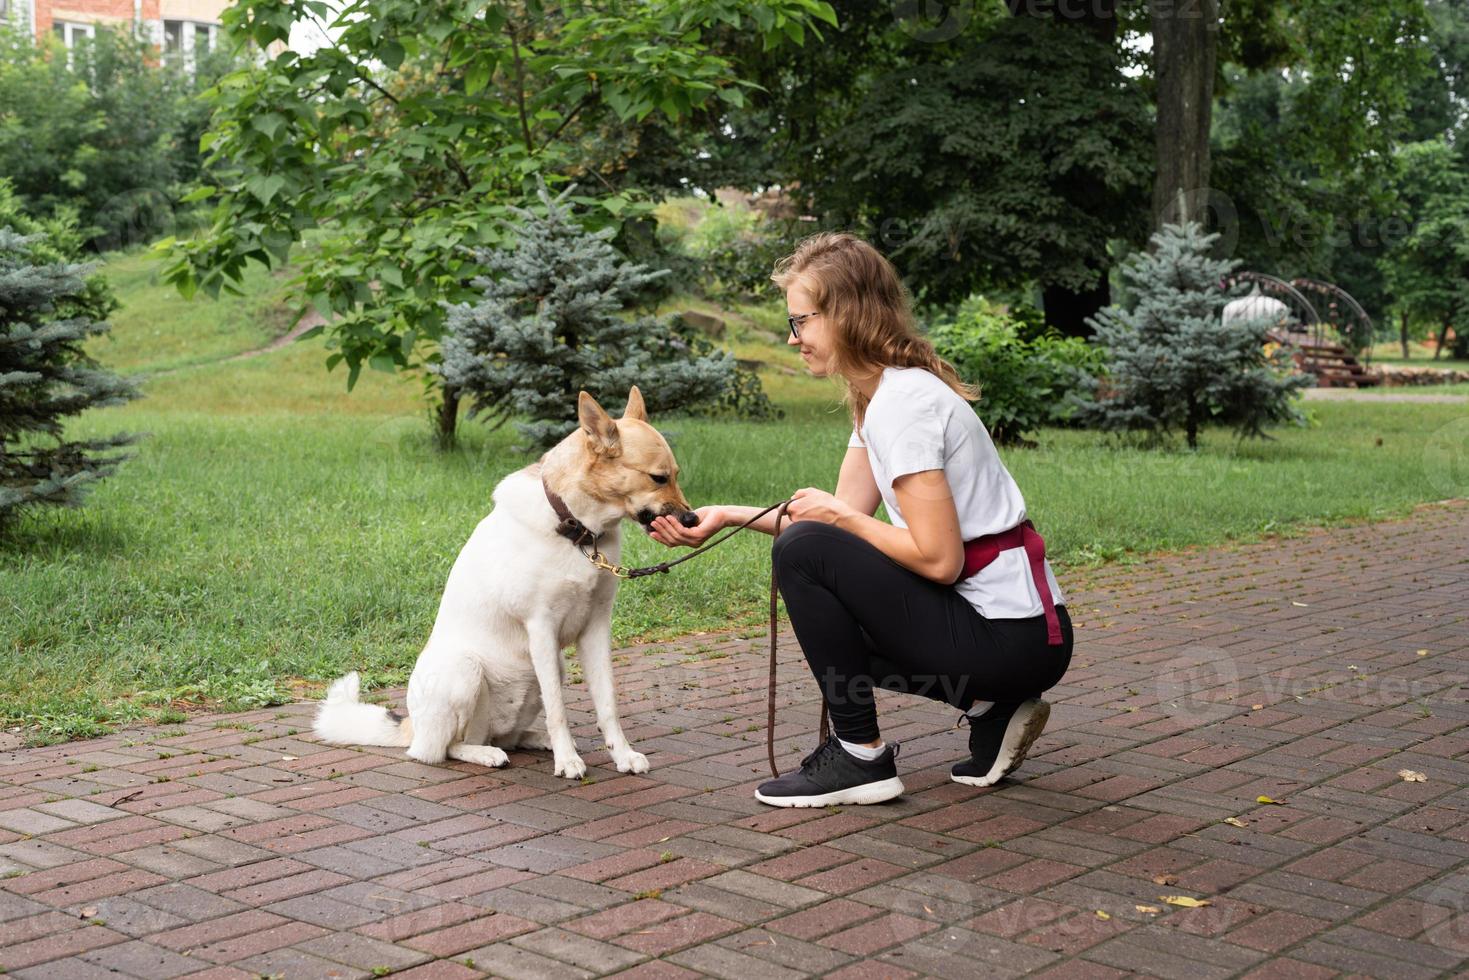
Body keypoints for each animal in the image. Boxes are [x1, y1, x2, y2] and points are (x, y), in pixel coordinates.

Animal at [311, 387, 699, 775]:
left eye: (677, 474)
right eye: (658, 477)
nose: (693, 520)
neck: (578, 531)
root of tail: (412, 726)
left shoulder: (596, 628)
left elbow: (608, 705)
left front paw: (621, 755)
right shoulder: (541, 628)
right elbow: (558, 711)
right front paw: (567, 761)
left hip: (550, 669)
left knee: (504, 737)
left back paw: (534, 740)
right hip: (465, 671)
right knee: (442, 749)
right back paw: (487, 754)